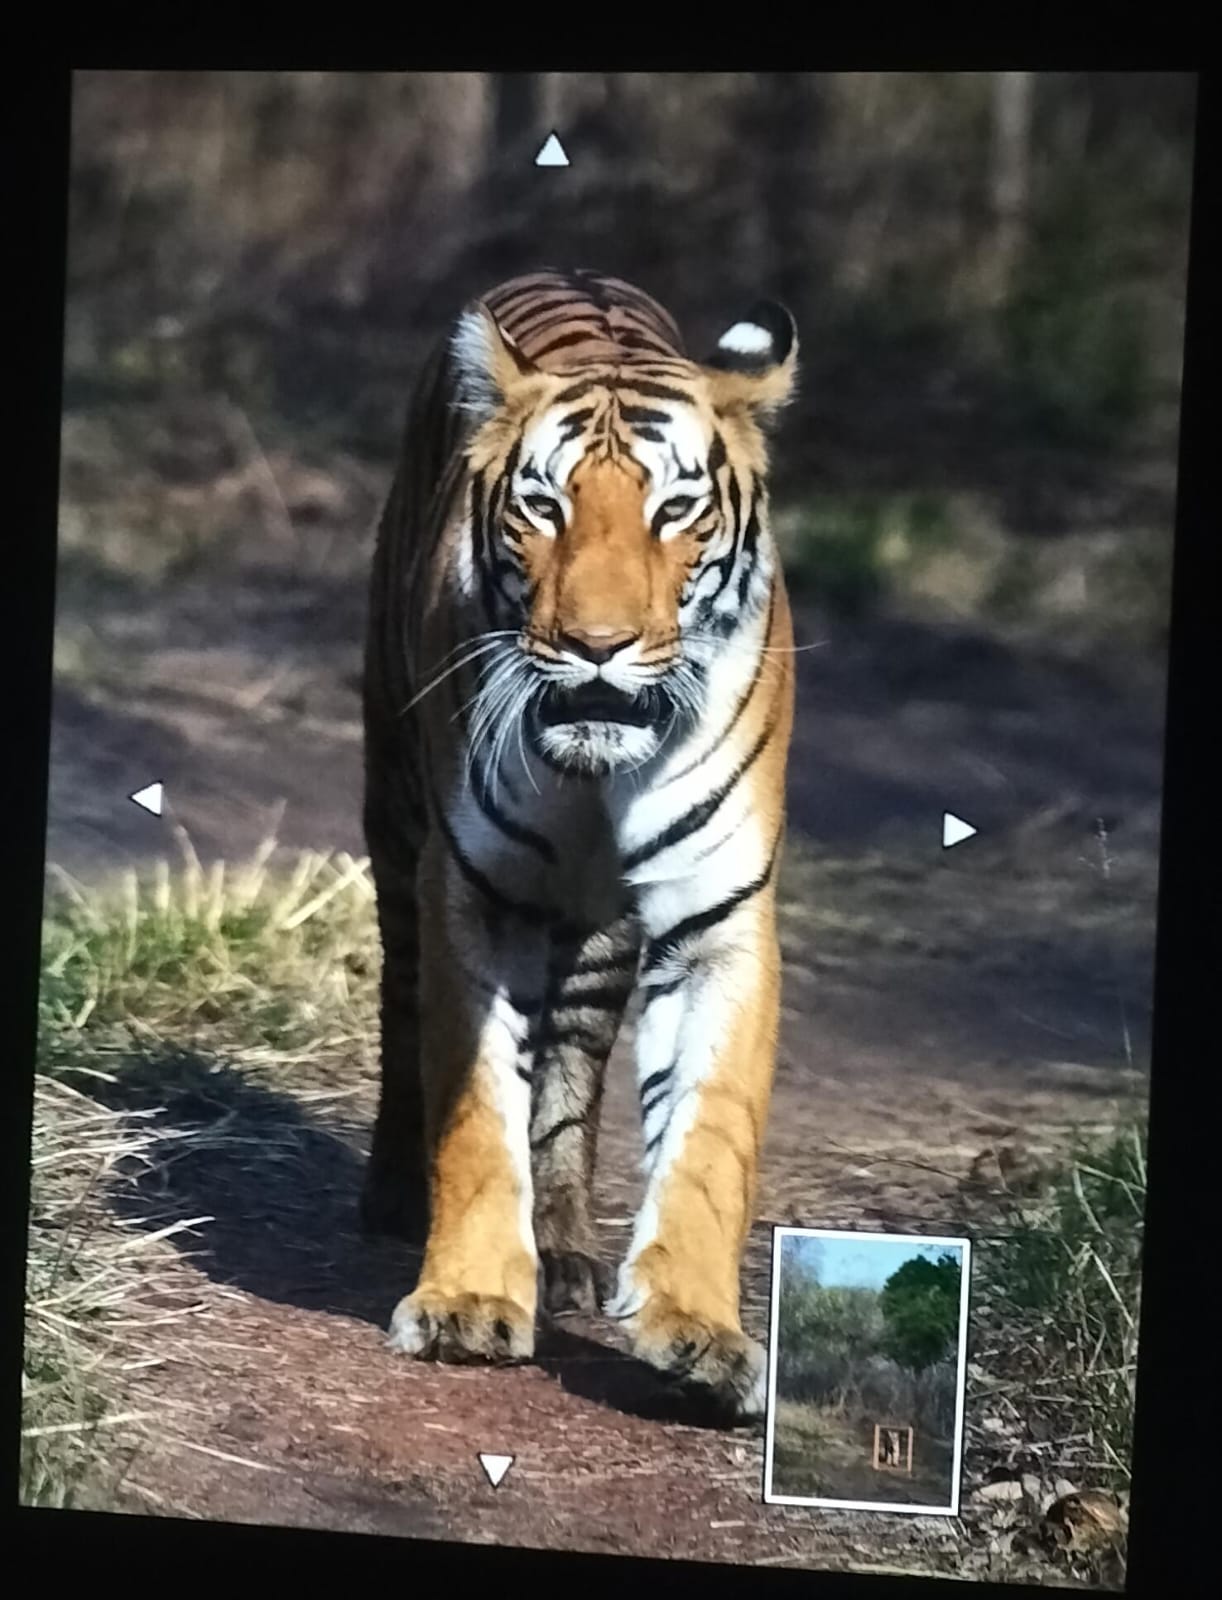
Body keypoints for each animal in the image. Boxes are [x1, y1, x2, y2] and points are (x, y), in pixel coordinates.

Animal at [360, 267, 797, 1420]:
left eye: (674, 509)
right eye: (543, 507)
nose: (596, 647)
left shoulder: (718, 915)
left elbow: (709, 1131)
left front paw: (702, 1335)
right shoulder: (471, 889)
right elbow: (477, 1111)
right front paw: (466, 1304)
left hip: (601, 933)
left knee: (570, 1068)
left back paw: (561, 1248)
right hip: (395, 812)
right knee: (401, 999)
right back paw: (392, 1192)